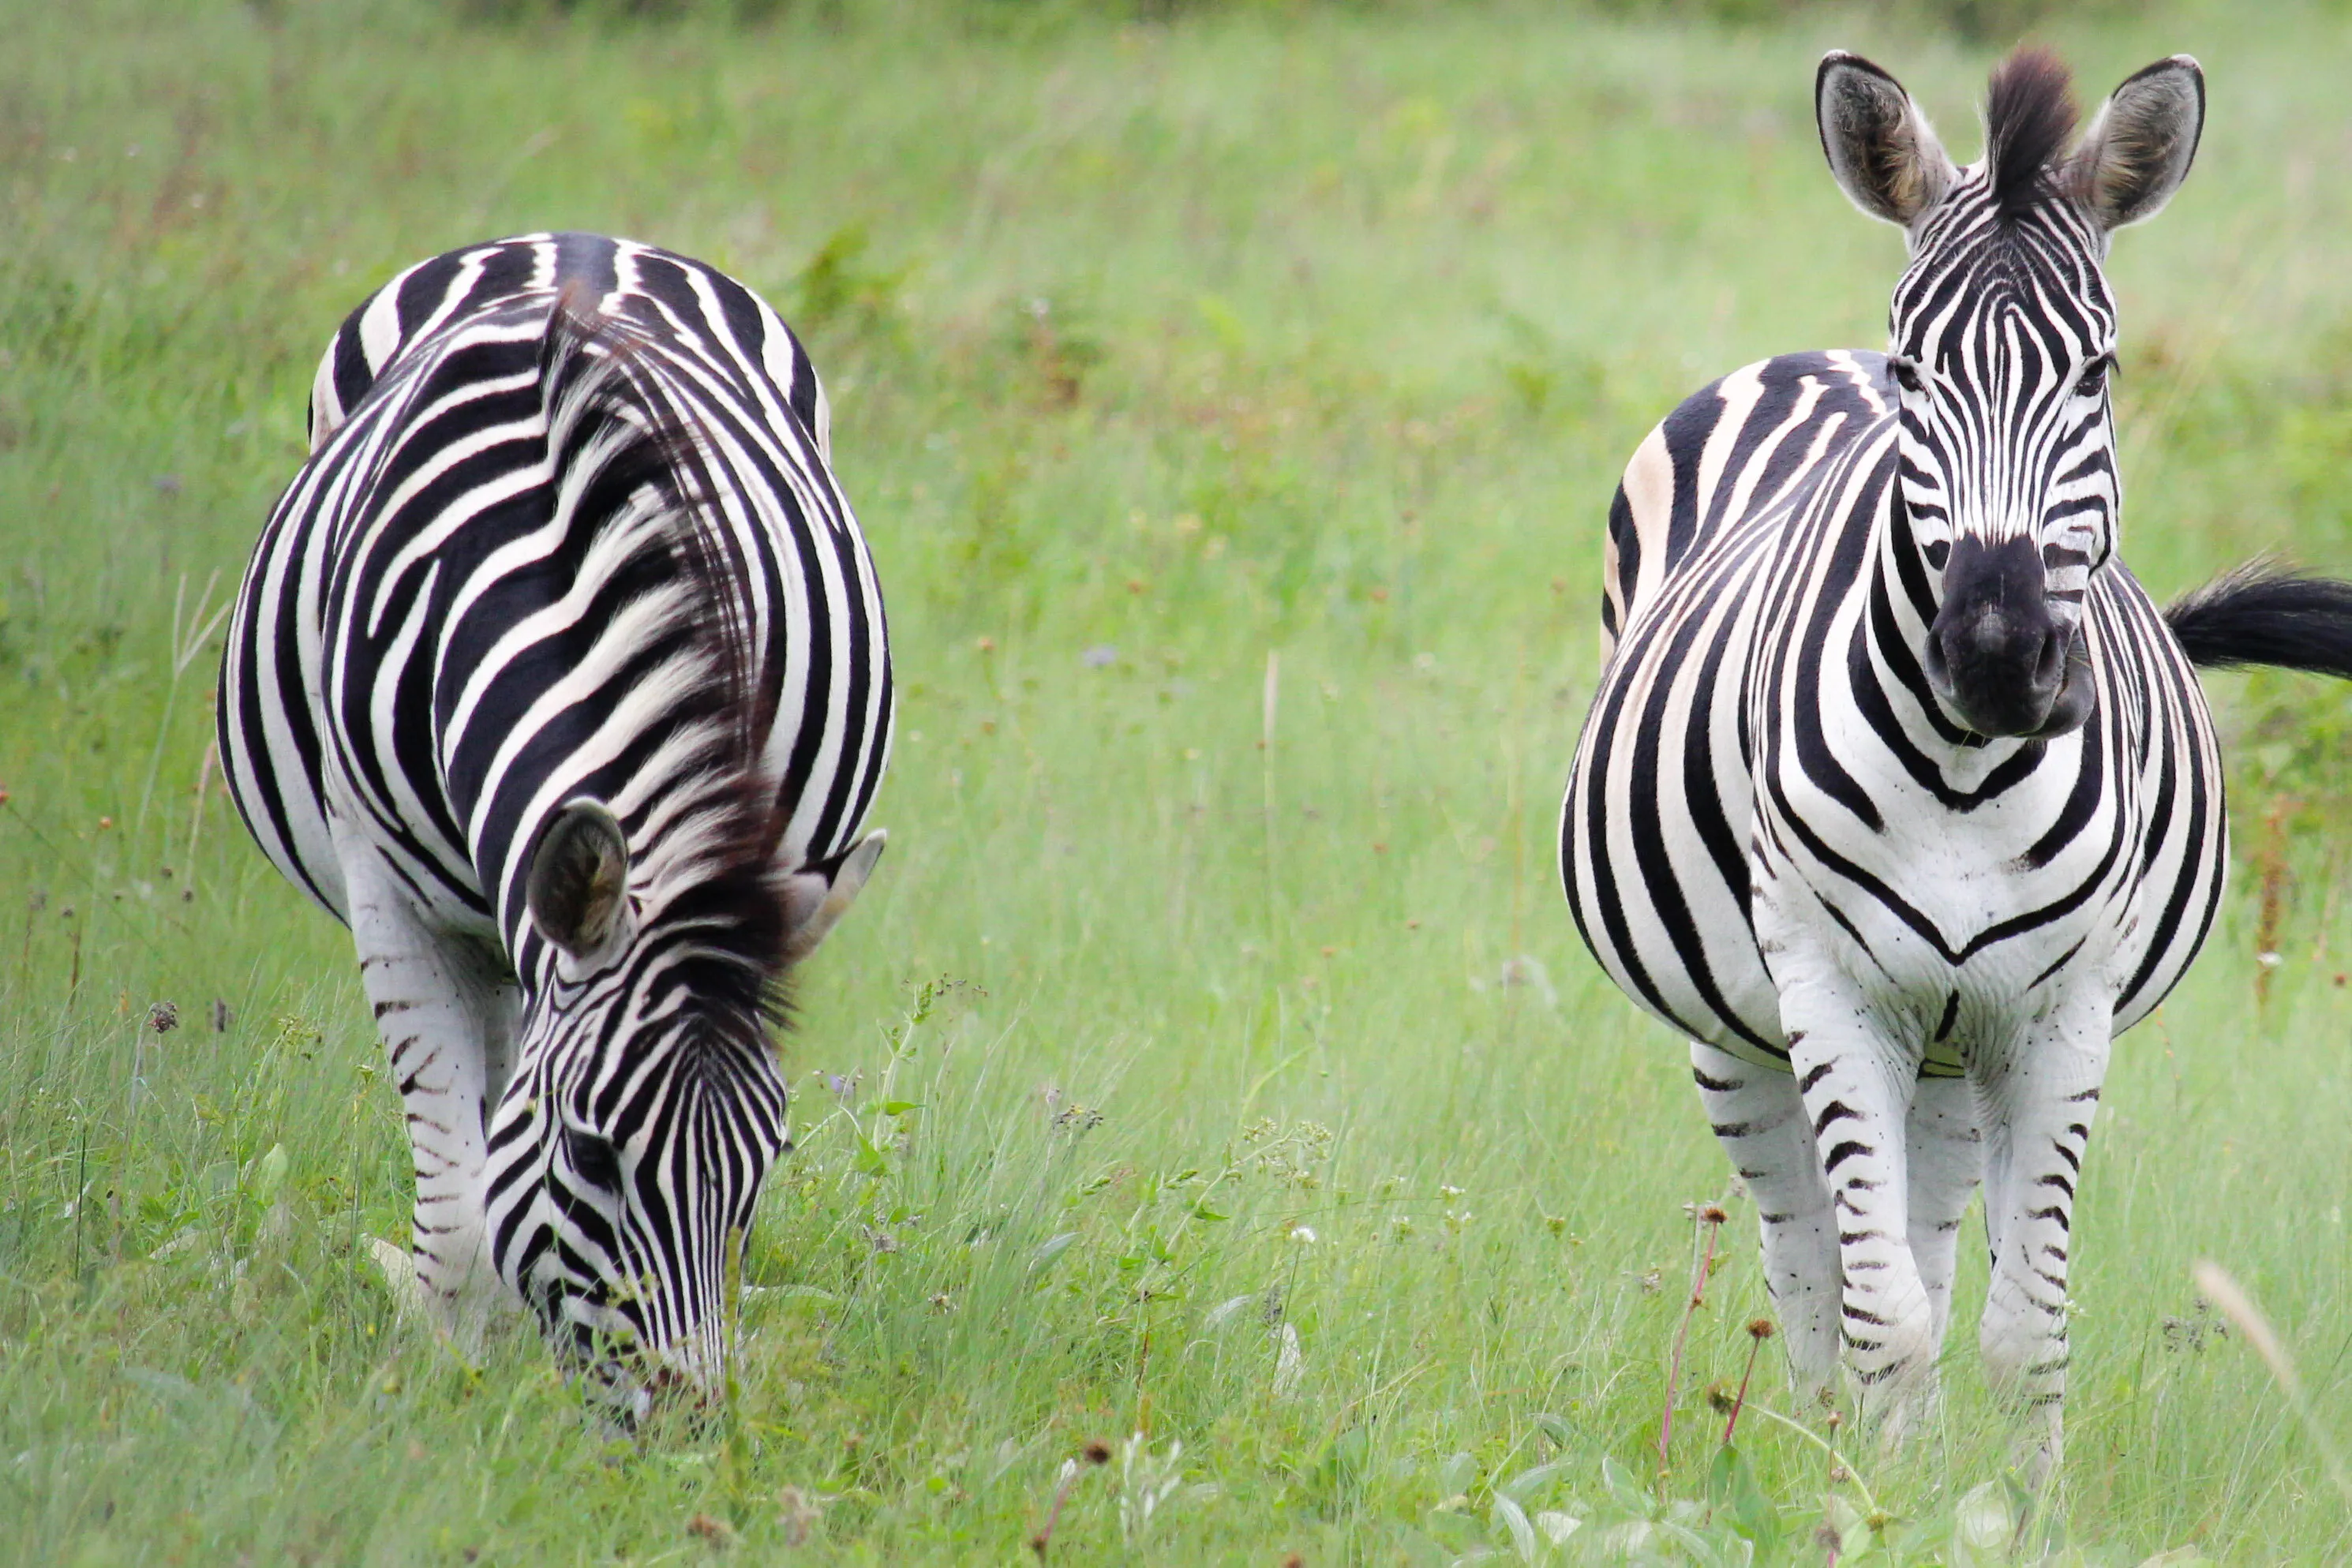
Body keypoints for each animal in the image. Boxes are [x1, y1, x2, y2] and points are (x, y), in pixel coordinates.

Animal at [219, 233, 892, 1413]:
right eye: (590, 1153)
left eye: (767, 1157)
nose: (687, 1418)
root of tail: (583, 240)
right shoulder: (389, 898)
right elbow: (461, 1203)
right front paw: (450, 1377)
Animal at [1560, 50, 2352, 1473]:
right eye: (1915, 372)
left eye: (2098, 372)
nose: (1995, 655)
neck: (1964, 775)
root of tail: (1802, 360)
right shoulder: (1830, 991)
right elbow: (1879, 1316)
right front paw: (1864, 1503)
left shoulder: (2058, 1013)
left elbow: (2020, 1333)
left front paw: (2002, 1505)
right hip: (1740, 1028)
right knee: (1806, 1276)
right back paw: (1827, 1443)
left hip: (1948, 1037)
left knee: (1923, 1242)